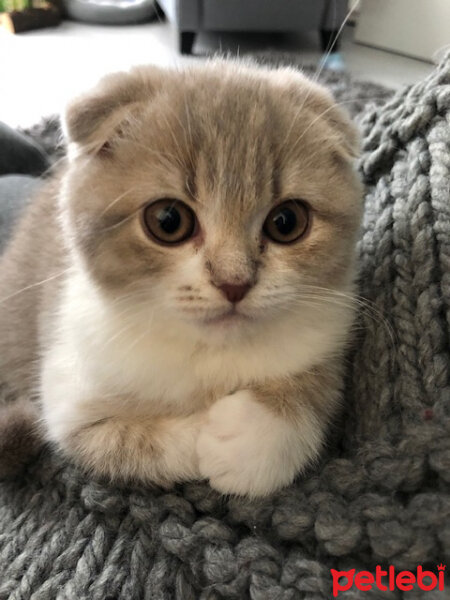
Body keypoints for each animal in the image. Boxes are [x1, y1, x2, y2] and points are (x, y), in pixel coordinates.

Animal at [0, 59, 362, 496]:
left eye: (287, 221)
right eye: (168, 221)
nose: (234, 283)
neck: (207, 352)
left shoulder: (329, 334)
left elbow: (319, 390)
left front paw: (253, 439)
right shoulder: (68, 401)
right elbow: (128, 442)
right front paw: (202, 436)